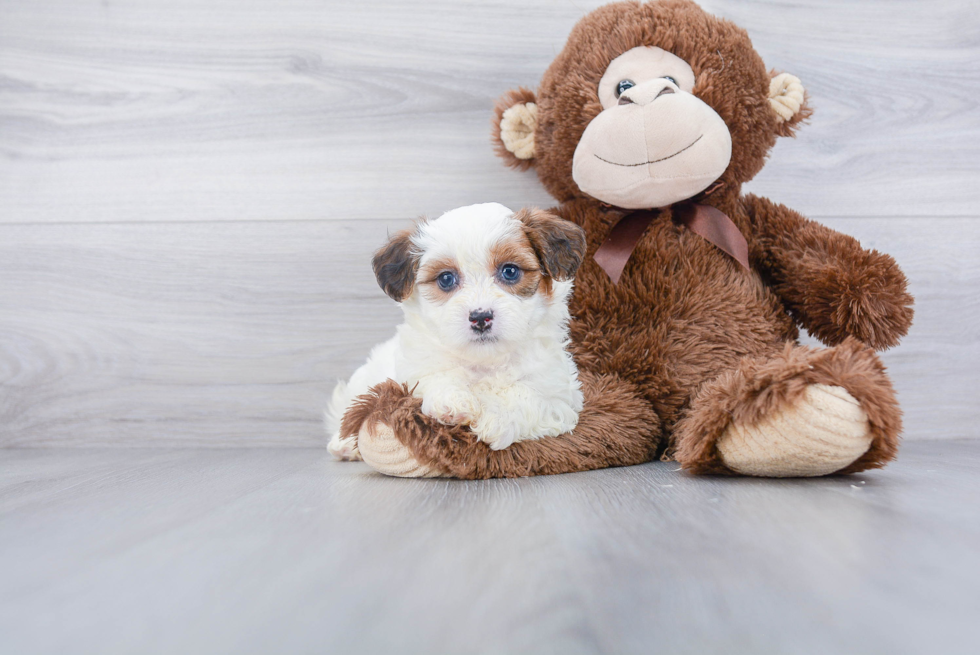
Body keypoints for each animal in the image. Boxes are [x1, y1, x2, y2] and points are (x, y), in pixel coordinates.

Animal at [330, 202, 584, 458]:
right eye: (446, 279)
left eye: (510, 271)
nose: (480, 317)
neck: (486, 361)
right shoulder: (415, 370)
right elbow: (435, 376)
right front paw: (452, 401)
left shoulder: (560, 396)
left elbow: (528, 395)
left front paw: (497, 418)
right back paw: (343, 444)